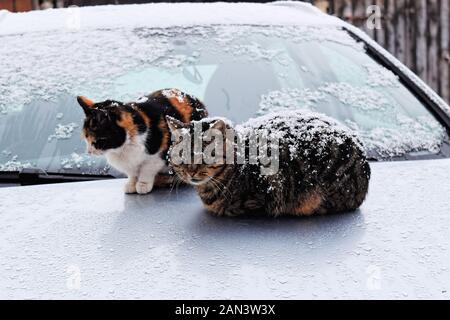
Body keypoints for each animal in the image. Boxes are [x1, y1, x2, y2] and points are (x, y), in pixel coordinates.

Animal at [78, 89, 208, 195]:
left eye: (96, 141)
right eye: (86, 139)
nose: (89, 151)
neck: (121, 149)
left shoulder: (157, 156)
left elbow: (146, 170)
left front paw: (143, 185)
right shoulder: (130, 164)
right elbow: (132, 174)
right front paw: (131, 185)